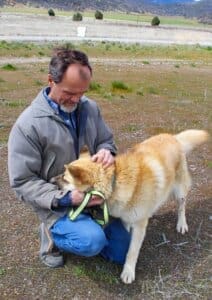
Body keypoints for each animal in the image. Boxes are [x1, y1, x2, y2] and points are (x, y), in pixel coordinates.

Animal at [53, 129, 209, 284]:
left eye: (65, 178)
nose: (51, 179)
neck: (115, 182)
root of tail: (172, 137)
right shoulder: (126, 219)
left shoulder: (139, 226)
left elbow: (132, 251)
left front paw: (128, 271)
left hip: (180, 191)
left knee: (182, 206)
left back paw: (182, 224)